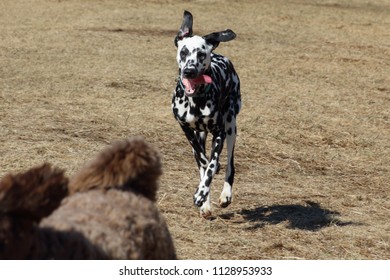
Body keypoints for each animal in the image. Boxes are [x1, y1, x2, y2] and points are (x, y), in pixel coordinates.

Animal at [171, 10, 239, 218]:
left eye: (201, 54)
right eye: (184, 52)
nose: (190, 71)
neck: (196, 101)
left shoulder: (220, 133)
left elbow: (211, 165)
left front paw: (201, 194)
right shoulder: (187, 130)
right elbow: (203, 162)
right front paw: (203, 199)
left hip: (231, 126)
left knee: (230, 164)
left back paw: (225, 194)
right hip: (200, 134)